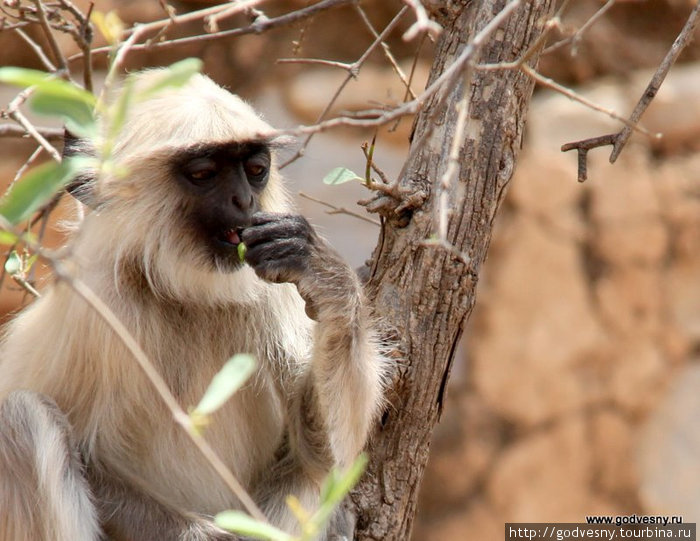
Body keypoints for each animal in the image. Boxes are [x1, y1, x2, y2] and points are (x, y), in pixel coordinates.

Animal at [0, 71, 388, 540]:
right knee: (22, 418)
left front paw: (321, 273)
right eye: (204, 174)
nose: (245, 201)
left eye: (255, 171)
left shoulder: (265, 284)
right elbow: (90, 461)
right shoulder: (96, 302)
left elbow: (323, 459)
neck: (182, 294)